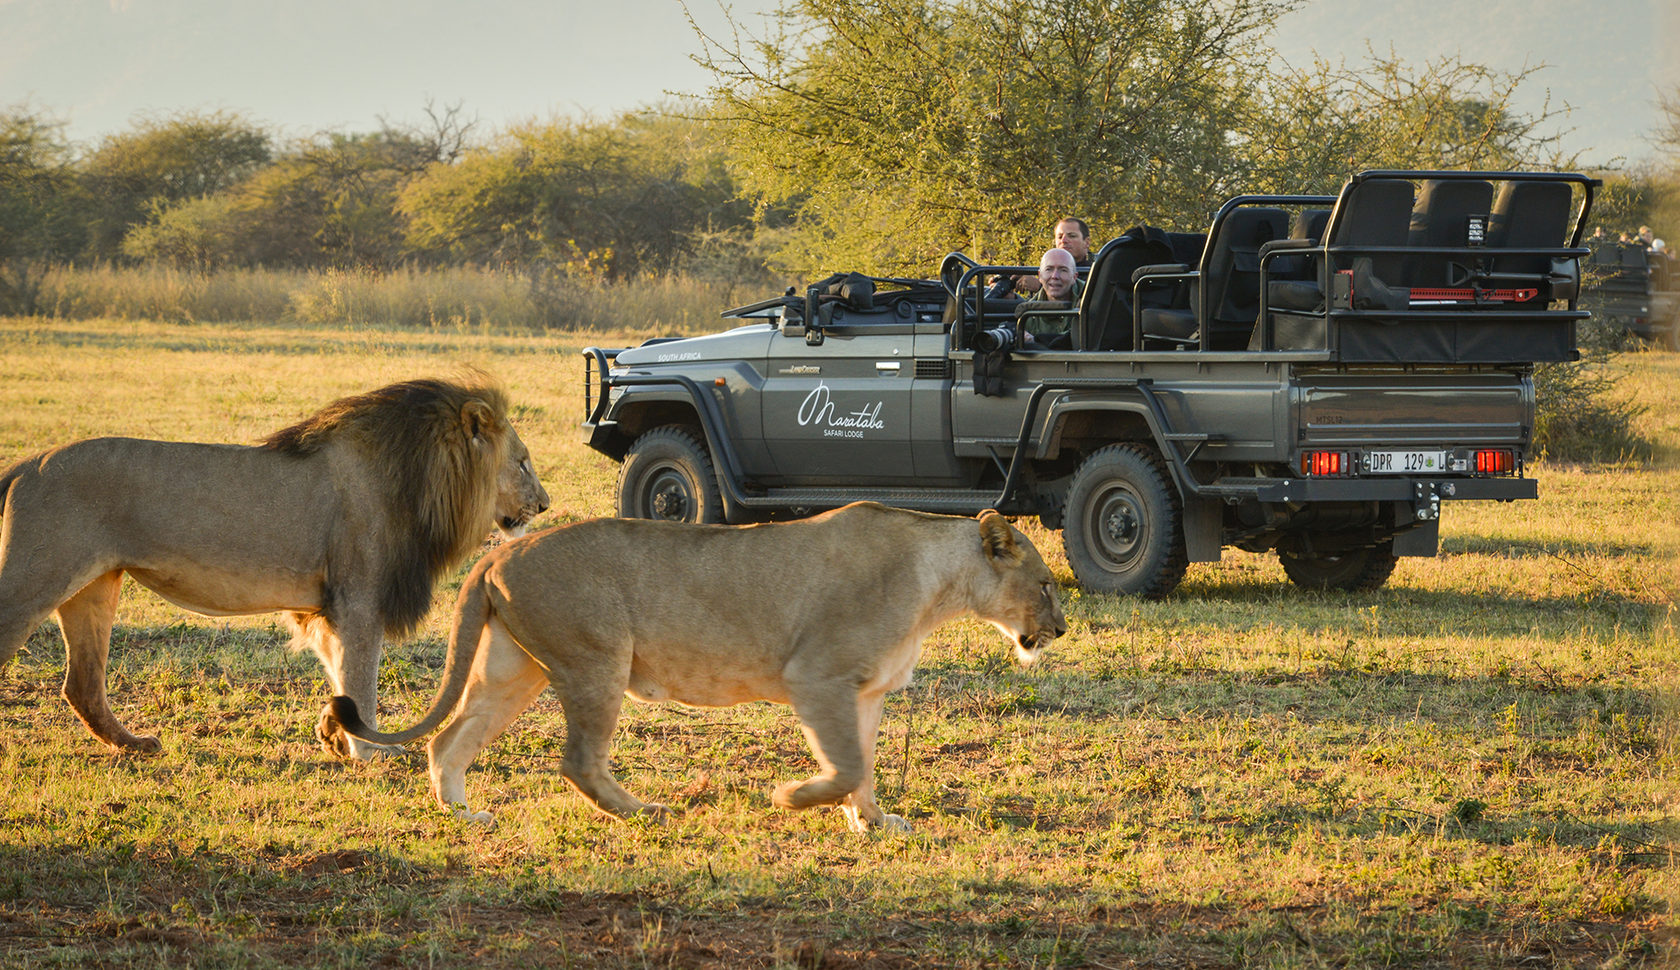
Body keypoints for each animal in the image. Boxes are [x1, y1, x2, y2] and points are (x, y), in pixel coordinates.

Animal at [0, 373, 551, 756]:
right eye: (523, 462)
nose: (546, 505)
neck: (421, 479)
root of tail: (26, 464)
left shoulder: (330, 606)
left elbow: (339, 672)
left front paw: (335, 733)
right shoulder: (360, 598)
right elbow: (361, 677)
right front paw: (372, 752)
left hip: (94, 586)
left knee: (82, 684)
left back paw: (135, 745)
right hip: (34, 580)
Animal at [325, 504, 1061, 827]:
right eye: (1049, 584)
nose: (1059, 628)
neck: (939, 584)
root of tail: (499, 551)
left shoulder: (866, 692)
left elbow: (866, 769)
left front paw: (873, 823)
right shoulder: (816, 677)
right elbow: (847, 765)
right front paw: (792, 798)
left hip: (514, 669)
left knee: (449, 738)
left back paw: (462, 814)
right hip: (598, 659)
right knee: (578, 760)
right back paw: (644, 811)